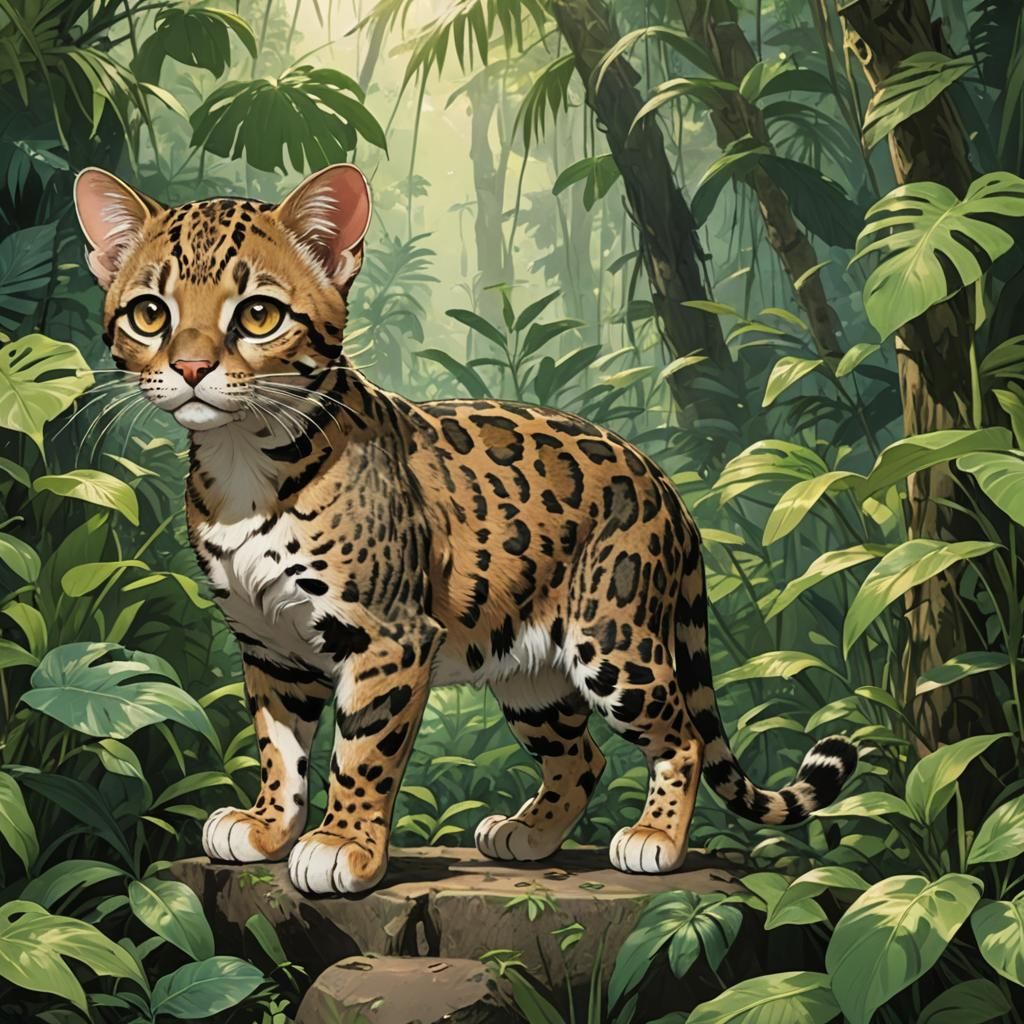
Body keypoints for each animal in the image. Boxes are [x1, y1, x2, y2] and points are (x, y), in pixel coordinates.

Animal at [73, 163, 857, 896]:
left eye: (259, 315)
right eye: (150, 313)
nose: (190, 367)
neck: (240, 460)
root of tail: (664, 482)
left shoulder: (388, 635)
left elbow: (361, 751)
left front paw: (342, 847)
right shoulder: (271, 647)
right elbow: (279, 748)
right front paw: (267, 827)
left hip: (615, 638)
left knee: (682, 736)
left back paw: (653, 840)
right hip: (532, 676)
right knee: (583, 756)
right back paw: (526, 835)